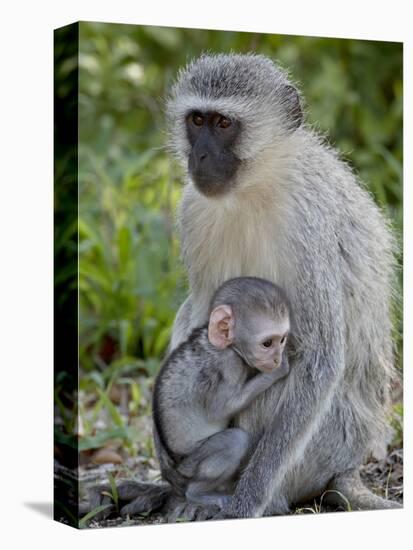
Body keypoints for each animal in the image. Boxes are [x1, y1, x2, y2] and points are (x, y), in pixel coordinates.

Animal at [151, 278, 290, 512]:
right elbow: (221, 409)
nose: (276, 359)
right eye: (267, 344)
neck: (228, 347)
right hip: (192, 464)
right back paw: (198, 493)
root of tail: (177, 468)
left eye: (282, 340)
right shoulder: (229, 364)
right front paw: (277, 372)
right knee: (235, 440)